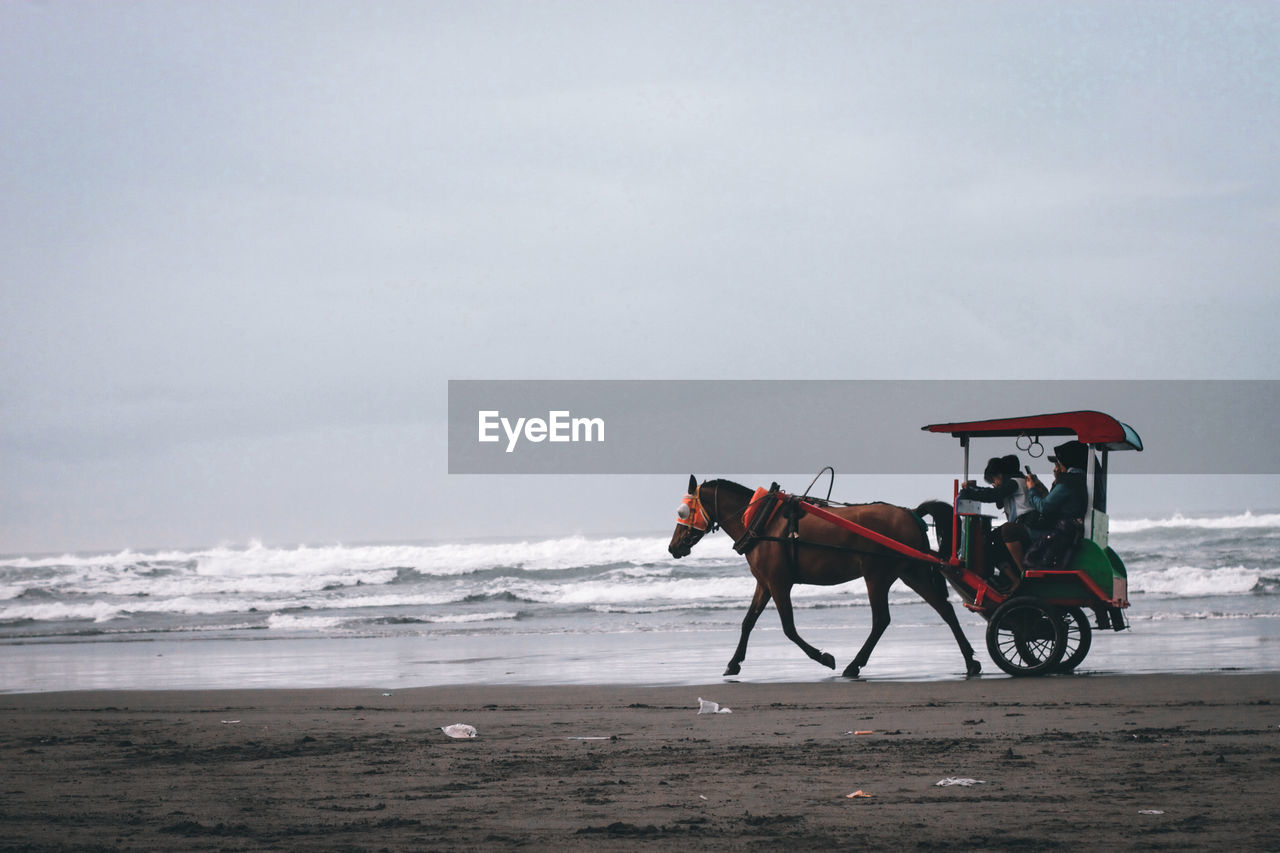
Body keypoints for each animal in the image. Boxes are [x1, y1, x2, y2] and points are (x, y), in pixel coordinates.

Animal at [670, 471, 977, 676]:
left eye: (683, 511)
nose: (673, 547)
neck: (761, 520)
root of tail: (910, 513)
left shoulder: (779, 583)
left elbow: (789, 628)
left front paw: (824, 657)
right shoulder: (765, 583)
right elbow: (748, 622)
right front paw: (734, 663)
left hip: (877, 576)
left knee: (881, 620)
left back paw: (854, 665)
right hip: (913, 572)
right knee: (944, 610)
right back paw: (970, 660)